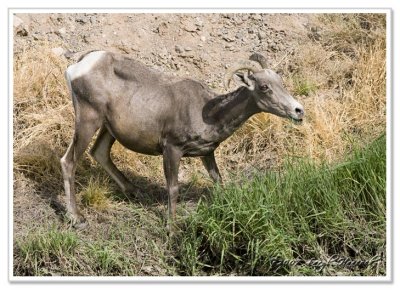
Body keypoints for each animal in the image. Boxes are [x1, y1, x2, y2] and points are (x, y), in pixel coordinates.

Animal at [61, 51, 304, 229]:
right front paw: (172, 228)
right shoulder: (172, 150)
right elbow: (173, 189)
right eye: (264, 87)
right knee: (69, 161)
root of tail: (80, 65)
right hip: (88, 121)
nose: (298, 111)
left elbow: (218, 181)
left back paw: (136, 192)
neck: (209, 113)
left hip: (107, 128)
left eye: (280, 81)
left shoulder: (207, 153)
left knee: (99, 153)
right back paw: (77, 218)